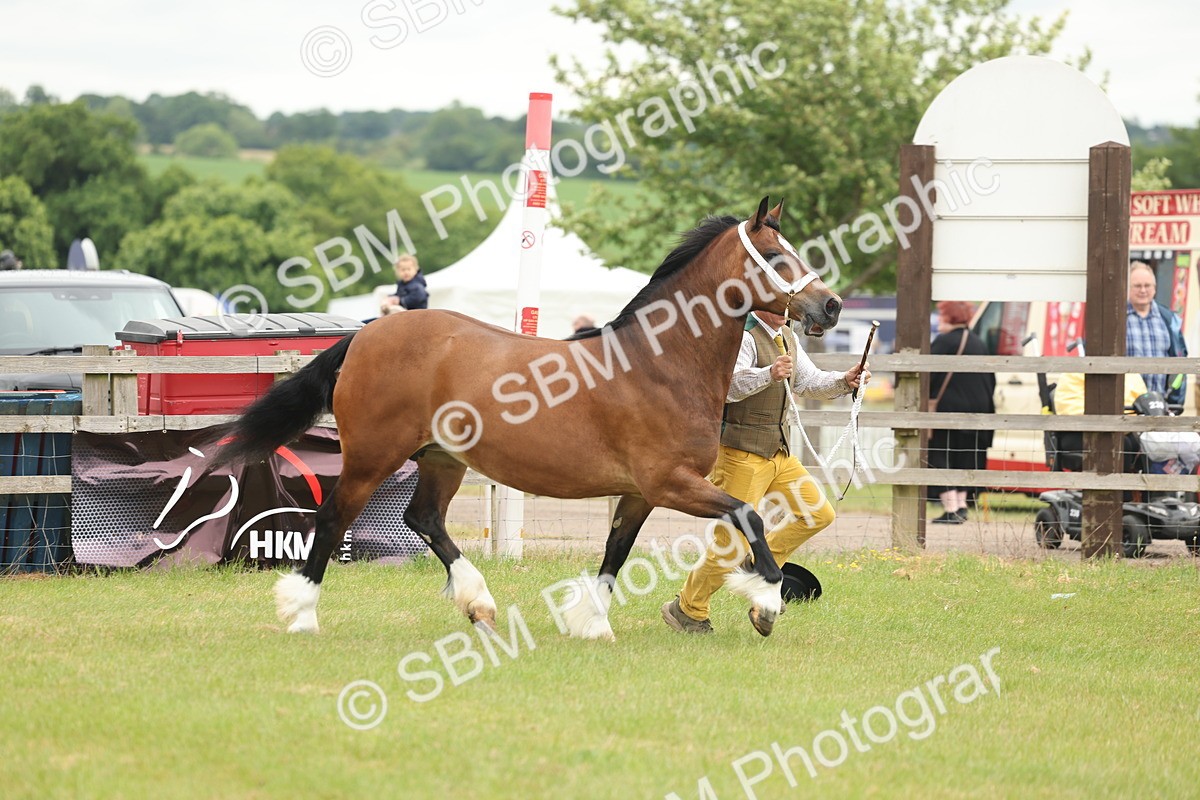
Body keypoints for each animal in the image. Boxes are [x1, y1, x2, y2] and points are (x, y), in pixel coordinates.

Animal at [214, 197, 842, 640]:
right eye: (779, 258)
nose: (831, 306)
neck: (657, 363)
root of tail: (367, 333)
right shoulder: (671, 483)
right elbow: (748, 517)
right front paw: (766, 605)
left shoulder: (639, 492)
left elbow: (615, 553)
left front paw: (592, 623)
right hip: (373, 456)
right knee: (332, 517)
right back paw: (302, 614)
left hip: (442, 458)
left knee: (424, 518)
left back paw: (479, 604)